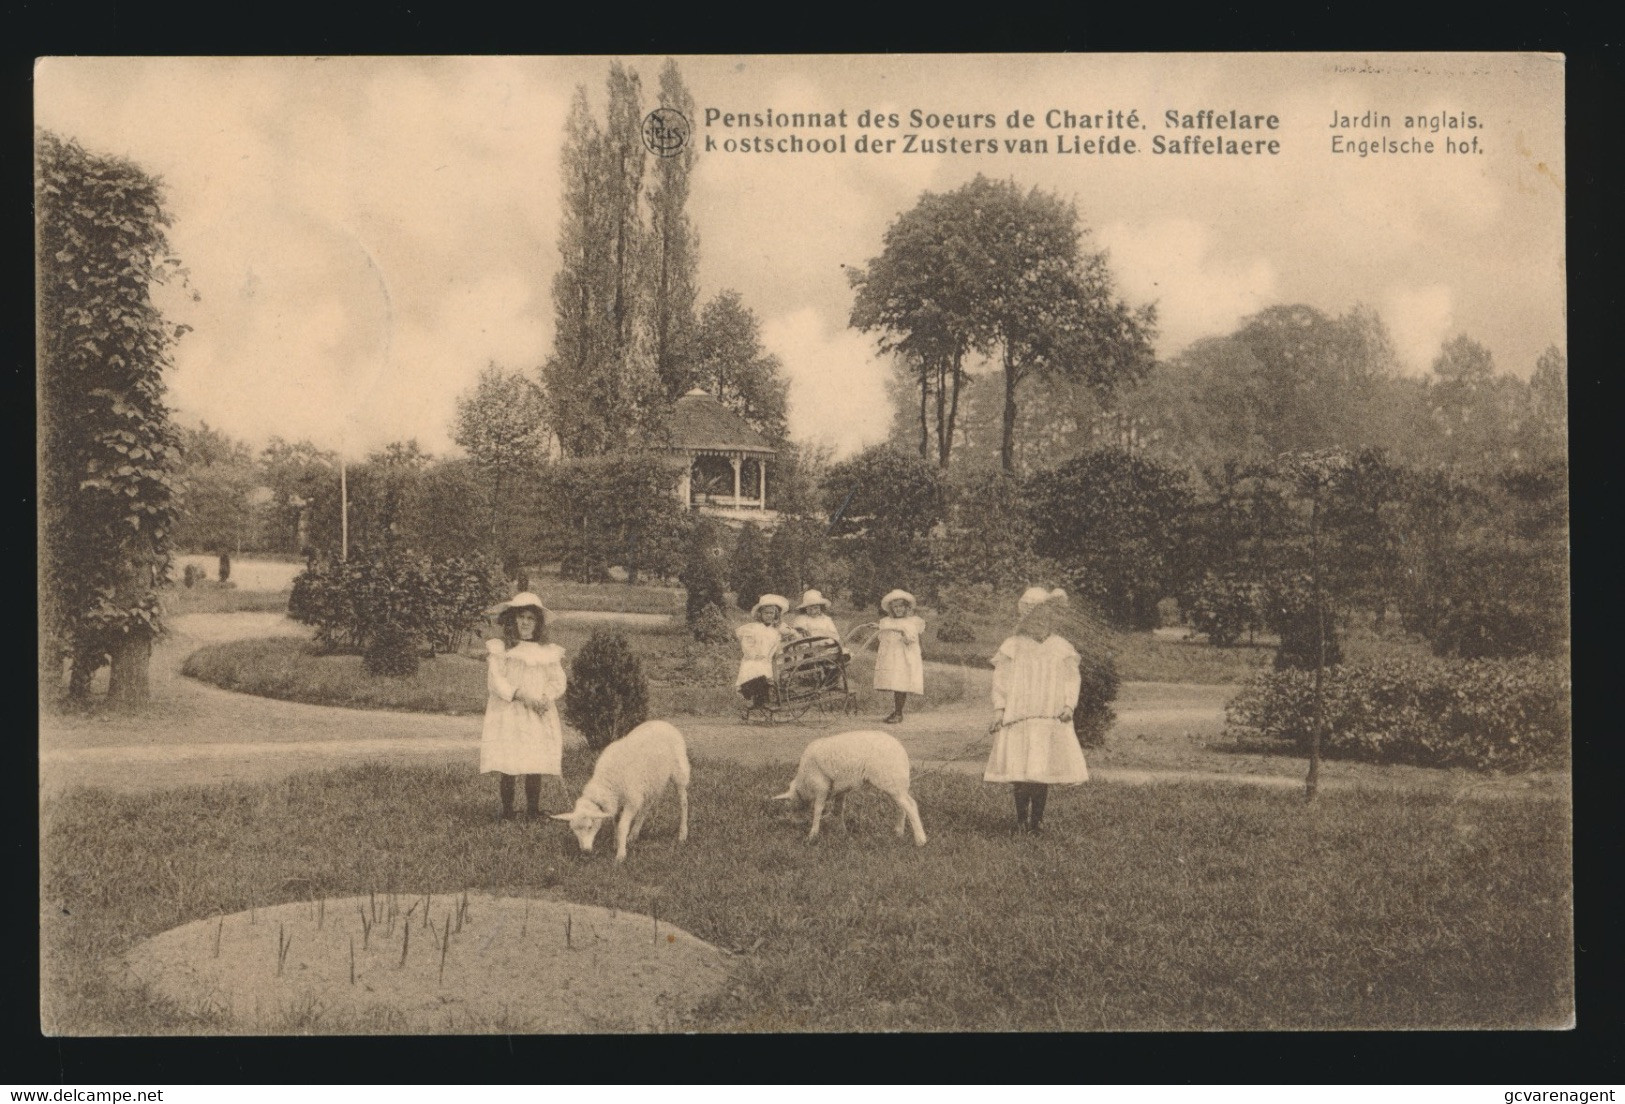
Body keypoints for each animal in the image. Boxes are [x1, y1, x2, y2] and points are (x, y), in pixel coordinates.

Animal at [552, 715, 692, 864]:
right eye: (574, 830)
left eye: (590, 826)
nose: (585, 851)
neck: (607, 783)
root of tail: (663, 723)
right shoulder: (618, 801)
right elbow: (616, 822)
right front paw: (616, 842)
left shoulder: (631, 801)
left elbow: (622, 826)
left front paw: (620, 854)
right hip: (651, 782)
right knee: (647, 806)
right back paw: (634, 834)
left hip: (679, 772)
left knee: (683, 803)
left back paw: (682, 834)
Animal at [773, 734, 929, 845]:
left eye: (792, 804)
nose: (794, 823)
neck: (804, 782)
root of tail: (901, 752)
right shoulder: (841, 790)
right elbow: (838, 810)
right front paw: (842, 831)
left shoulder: (821, 787)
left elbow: (818, 810)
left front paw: (813, 834)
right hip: (895, 784)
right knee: (903, 806)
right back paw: (899, 833)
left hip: (890, 781)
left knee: (910, 805)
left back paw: (920, 840)